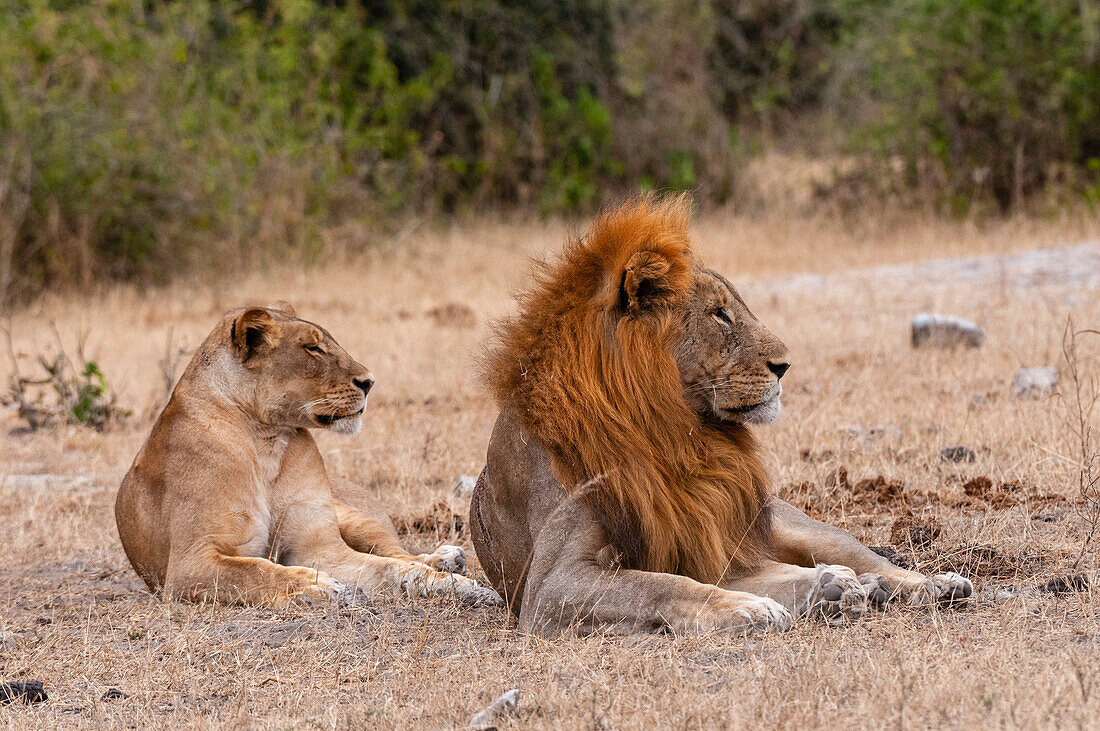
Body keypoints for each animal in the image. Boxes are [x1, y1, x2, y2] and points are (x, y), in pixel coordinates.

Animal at [117, 301, 503, 602]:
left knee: (400, 552)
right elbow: (255, 570)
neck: (266, 439)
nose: (369, 382)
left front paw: (460, 587)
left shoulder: (320, 548)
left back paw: (447, 559)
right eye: (313, 349)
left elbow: (391, 568)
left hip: (353, 516)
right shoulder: (188, 564)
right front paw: (315, 585)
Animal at [473, 195, 972, 633]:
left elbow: (669, 580)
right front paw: (749, 608)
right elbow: (660, 585)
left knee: (864, 556)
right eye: (720, 314)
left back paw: (928, 584)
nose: (785, 365)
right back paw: (838, 588)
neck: (669, 432)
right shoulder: (550, 584)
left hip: (785, 521)